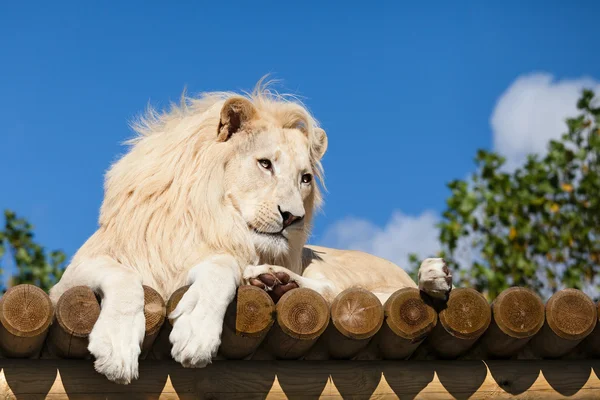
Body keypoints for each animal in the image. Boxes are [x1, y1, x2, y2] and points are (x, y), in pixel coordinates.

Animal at [50, 80, 450, 384]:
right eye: (265, 164)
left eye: (305, 178)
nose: (293, 217)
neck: (211, 218)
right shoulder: (67, 280)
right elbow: (124, 278)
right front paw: (116, 350)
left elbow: (222, 268)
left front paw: (196, 333)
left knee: (335, 292)